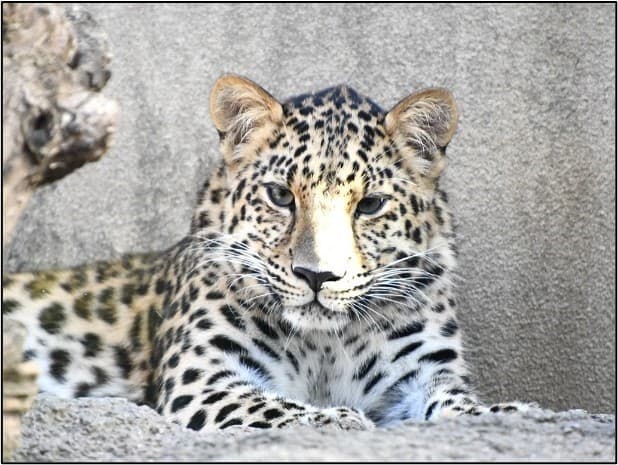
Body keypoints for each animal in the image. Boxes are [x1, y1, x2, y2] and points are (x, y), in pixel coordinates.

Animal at [2, 73, 528, 432]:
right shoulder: (205, 376)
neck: (325, 345)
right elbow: (273, 405)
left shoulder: (421, 373)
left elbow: (457, 402)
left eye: (370, 205)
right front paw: (337, 418)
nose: (317, 276)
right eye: (280, 196)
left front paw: (508, 412)